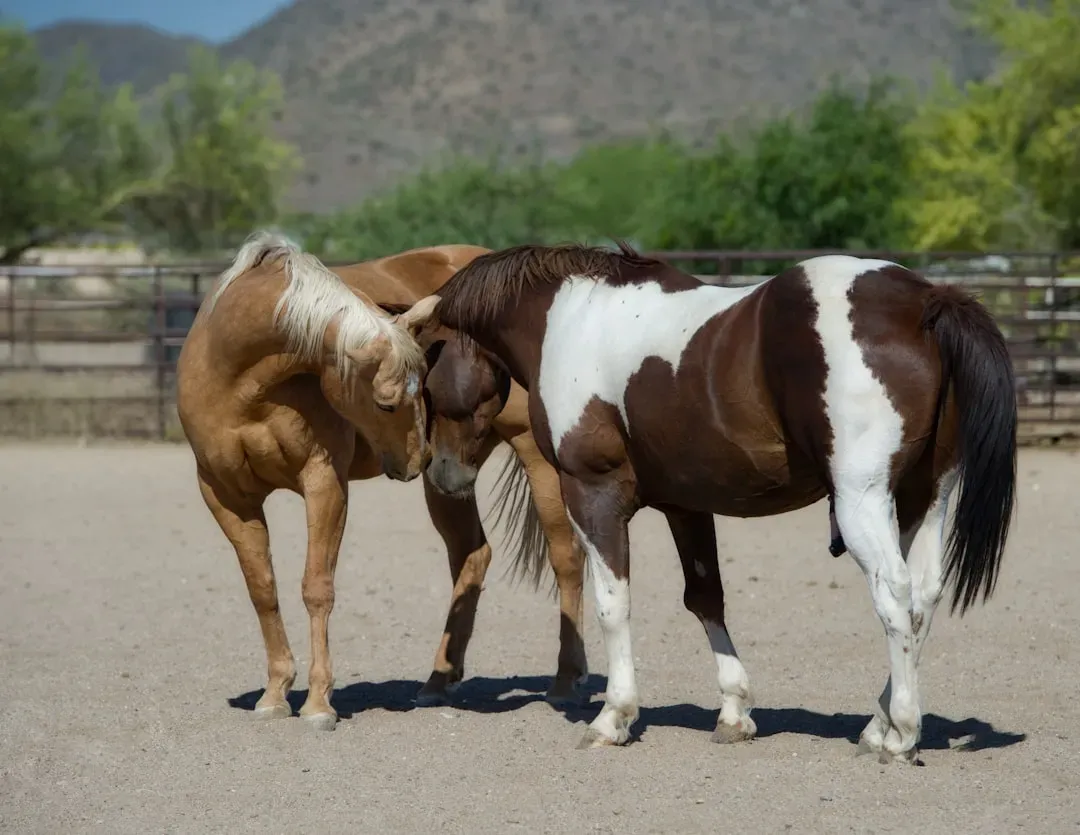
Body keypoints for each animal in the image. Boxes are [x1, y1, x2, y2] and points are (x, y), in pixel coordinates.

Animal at [176, 233, 587, 730]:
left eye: (421, 385)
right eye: (387, 402)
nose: (415, 459)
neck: (238, 378)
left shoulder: (325, 483)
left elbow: (317, 588)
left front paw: (319, 703)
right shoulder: (226, 496)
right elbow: (262, 589)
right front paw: (275, 693)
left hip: (532, 458)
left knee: (566, 557)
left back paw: (565, 681)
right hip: (451, 476)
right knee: (472, 555)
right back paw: (438, 680)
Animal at [402, 241, 1018, 764]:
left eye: (426, 378)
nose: (443, 473)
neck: (569, 318)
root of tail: (923, 302)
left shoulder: (594, 494)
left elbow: (612, 604)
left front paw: (613, 717)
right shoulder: (686, 505)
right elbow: (706, 600)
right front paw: (734, 711)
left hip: (862, 499)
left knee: (894, 592)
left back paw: (902, 733)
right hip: (924, 497)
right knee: (923, 597)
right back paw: (878, 724)